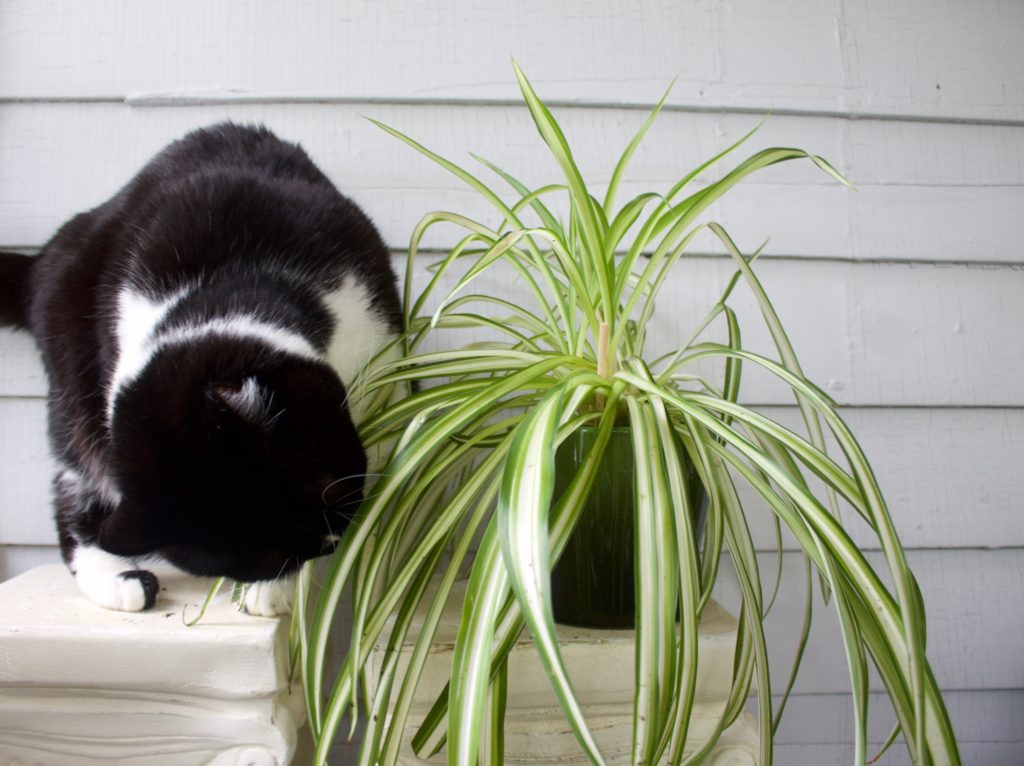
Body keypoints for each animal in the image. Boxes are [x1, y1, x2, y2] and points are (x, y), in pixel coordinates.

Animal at [0, 124, 399, 614]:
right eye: (275, 556)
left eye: (326, 486)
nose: (330, 541)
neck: (233, 281)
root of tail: (45, 257)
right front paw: (275, 590)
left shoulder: (384, 350)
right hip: (72, 364)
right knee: (74, 472)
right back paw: (116, 578)